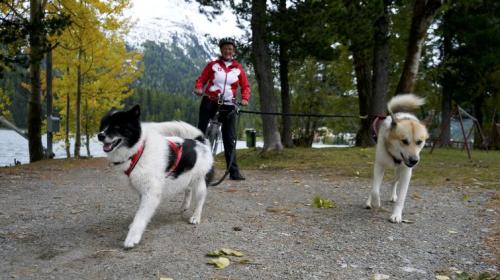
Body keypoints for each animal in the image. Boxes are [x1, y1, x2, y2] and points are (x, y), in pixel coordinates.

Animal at [98, 105, 214, 247]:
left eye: (117, 127)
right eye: (103, 125)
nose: (100, 135)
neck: (139, 151)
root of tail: (200, 141)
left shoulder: (151, 193)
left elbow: (140, 216)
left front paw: (132, 237)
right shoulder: (142, 191)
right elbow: (140, 211)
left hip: (200, 182)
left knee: (200, 200)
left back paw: (196, 217)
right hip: (186, 176)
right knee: (188, 189)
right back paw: (184, 206)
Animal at [364, 94, 430, 223]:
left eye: (419, 142)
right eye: (404, 141)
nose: (414, 161)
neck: (395, 155)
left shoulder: (406, 173)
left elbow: (401, 198)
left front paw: (396, 215)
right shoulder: (379, 165)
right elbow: (375, 190)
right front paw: (375, 202)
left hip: (399, 171)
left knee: (394, 181)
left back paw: (393, 196)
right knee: (375, 184)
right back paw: (370, 201)